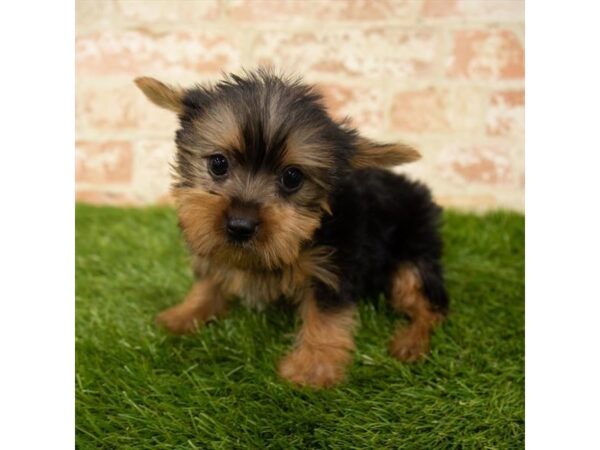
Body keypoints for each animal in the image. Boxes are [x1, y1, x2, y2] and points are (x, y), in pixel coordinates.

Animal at [134, 69, 448, 386]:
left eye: (292, 177)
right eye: (219, 163)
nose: (240, 225)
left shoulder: (334, 264)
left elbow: (325, 313)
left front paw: (312, 366)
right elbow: (210, 277)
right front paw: (185, 313)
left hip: (413, 252)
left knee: (429, 304)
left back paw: (411, 342)